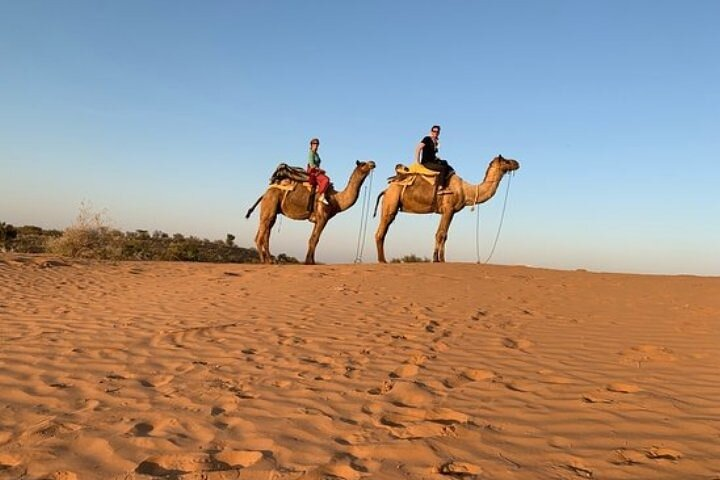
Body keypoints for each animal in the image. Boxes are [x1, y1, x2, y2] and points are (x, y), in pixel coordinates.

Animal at [246, 161, 374, 266]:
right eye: (363, 164)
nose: (373, 163)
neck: (335, 200)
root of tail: (265, 193)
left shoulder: (318, 220)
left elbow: (312, 239)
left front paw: (310, 261)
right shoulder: (323, 217)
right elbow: (315, 239)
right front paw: (310, 262)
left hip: (271, 210)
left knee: (266, 231)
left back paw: (268, 260)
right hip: (270, 203)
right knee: (262, 234)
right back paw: (266, 260)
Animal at [374, 156, 520, 262]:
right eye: (506, 161)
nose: (517, 163)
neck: (466, 191)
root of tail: (386, 190)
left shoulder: (450, 211)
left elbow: (442, 234)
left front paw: (437, 258)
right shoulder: (448, 208)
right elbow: (441, 234)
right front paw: (440, 259)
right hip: (391, 201)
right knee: (381, 231)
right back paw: (382, 260)